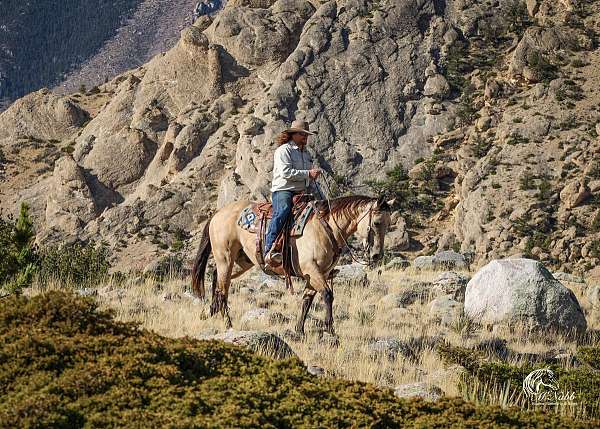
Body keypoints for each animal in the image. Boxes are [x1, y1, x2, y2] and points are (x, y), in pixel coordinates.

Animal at [190, 196, 392, 334]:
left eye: (389, 224)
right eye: (376, 222)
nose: (377, 255)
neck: (326, 227)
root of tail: (217, 214)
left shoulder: (320, 273)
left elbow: (307, 300)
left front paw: (299, 330)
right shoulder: (312, 270)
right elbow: (328, 295)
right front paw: (330, 328)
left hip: (241, 261)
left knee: (216, 278)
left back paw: (212, 311)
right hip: (225, 257)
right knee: (223, 290)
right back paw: (228, 324)